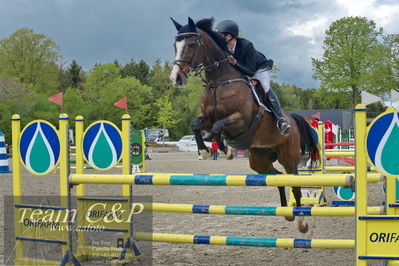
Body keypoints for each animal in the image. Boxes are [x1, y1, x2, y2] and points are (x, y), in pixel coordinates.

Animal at [170, 17, 320, 233]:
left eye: (191, 45)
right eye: (175, 45)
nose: (176, 78)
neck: (218, 82)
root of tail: (292, 118)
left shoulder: (240, 120)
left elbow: (218, 127)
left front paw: (225, 150)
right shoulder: (206, 118)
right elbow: (196, 123)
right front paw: (205, 150)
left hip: (289, 156)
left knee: (294, 183)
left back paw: (301, 222)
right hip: (259, 160)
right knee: (278, 178)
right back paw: (287, 213)